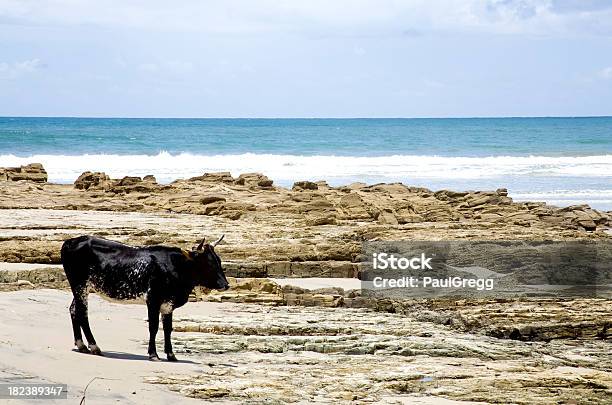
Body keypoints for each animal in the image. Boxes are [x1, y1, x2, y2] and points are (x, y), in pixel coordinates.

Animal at [60, 234, 230, 360]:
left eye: (218, 261)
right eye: (208, 263)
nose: (226, 284)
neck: (176, 266)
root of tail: (71, 241)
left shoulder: (168, 304)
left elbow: (168, 329)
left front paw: (171, 355)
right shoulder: (153, 300)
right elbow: (153, 326)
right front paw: (153, 354)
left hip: (82, 288)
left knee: (74, 310)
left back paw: (81, 345)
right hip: (80, 285)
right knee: (82, 313)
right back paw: (94, 346)